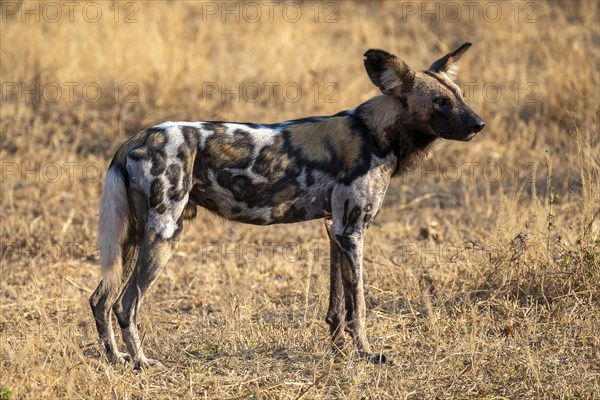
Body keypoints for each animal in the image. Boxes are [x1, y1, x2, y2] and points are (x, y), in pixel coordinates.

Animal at [91, 42, 486, 368]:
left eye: (460, 95)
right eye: (440, 102)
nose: (479, 124)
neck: (377, 133)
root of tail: (133, 140)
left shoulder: (336, 230)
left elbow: (337, 307)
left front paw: (339, 352)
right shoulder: (353, 232)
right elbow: (358, 305)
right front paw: (366, 354)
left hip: (132, 239)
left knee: (102, 300)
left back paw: (117, 360)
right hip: (165, 233)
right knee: (126, 304)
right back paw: (141, 362)